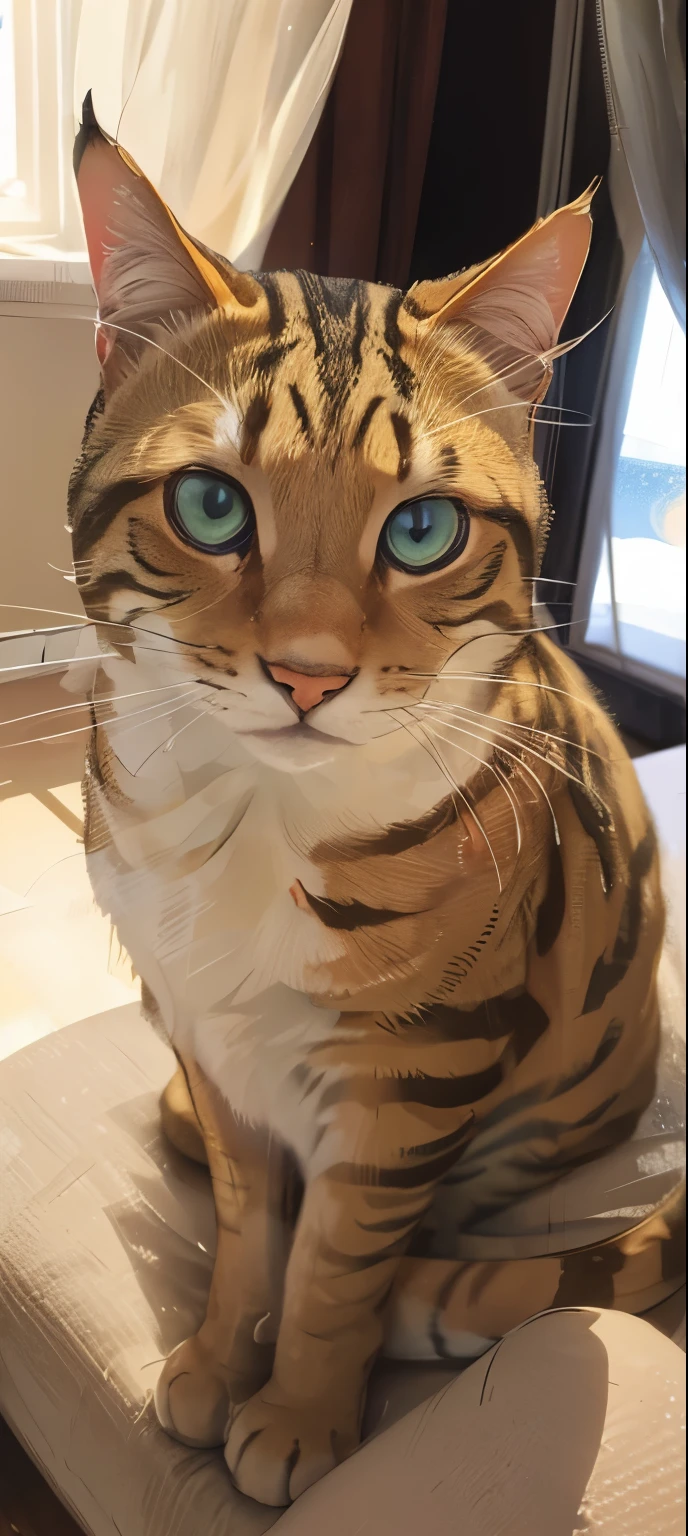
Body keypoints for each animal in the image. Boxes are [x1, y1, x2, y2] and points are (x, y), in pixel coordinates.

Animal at [67, 102, 669, 1505]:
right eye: (211, 503)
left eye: (421, 531)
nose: (306, 672)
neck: (247, 827)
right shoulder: (203, 1032)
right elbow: (247, 1227)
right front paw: (215, 1360)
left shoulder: (415, 1068)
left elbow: (336, 1265)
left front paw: (296, 1415)